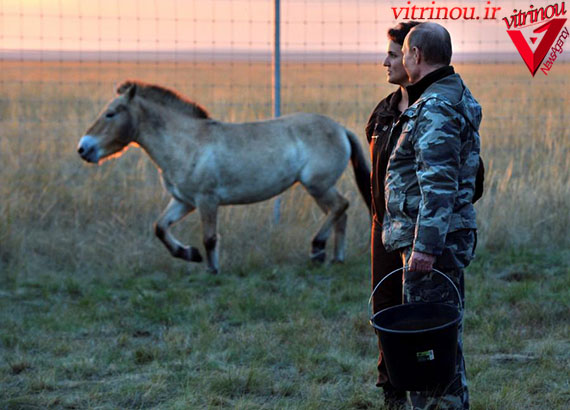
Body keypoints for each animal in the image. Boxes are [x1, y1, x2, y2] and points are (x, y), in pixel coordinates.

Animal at [77, 79, 370, 272]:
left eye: (110, 114)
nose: (83, 148)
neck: (186, 143)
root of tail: (341, 129)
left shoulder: (207, 200)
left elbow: (209, 238)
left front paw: (212, 270)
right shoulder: (184, 201)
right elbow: (160, 227)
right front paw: (189, 254)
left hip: (317, 185)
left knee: (341, 206)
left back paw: (317, 249)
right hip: (318, 188)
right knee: (340, 213)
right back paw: (335, 258)